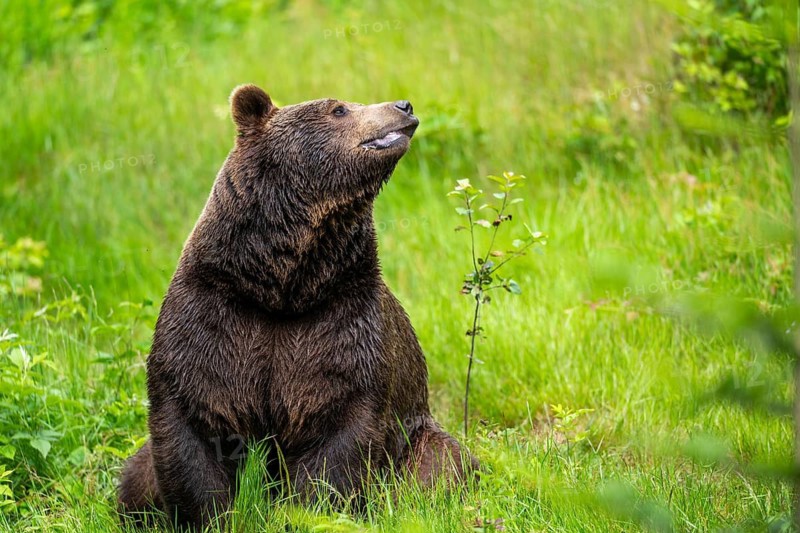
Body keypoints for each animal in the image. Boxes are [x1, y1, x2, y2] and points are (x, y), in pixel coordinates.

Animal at [117, 84, 476, 529]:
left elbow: (339, 429)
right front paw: (211, 516)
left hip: (417, 440)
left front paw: (310, 511)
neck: (284, 284)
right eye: (339, 108)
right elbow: (194, 424)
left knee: (443, 465)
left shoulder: (339, 318)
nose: (403, 106)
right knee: (135, 476)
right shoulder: (214, 313)